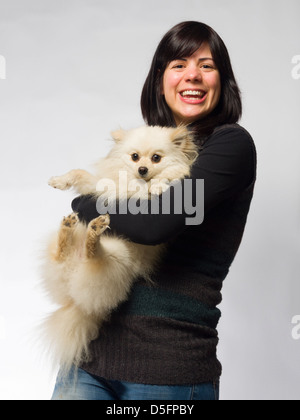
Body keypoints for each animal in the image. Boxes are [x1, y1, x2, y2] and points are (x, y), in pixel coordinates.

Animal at [41, 124, 197, 374]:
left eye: (156, 158)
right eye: (134, 157)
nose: (142, 169)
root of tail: (77, 299)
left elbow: (161, 180)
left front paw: (158, 184)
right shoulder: (102, 185)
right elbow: (80, 173)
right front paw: (59, 180)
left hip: (116, 257)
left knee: (94, 255)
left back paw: (94, 234)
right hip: (65, 260)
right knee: (61, 254)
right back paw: (70, 229)